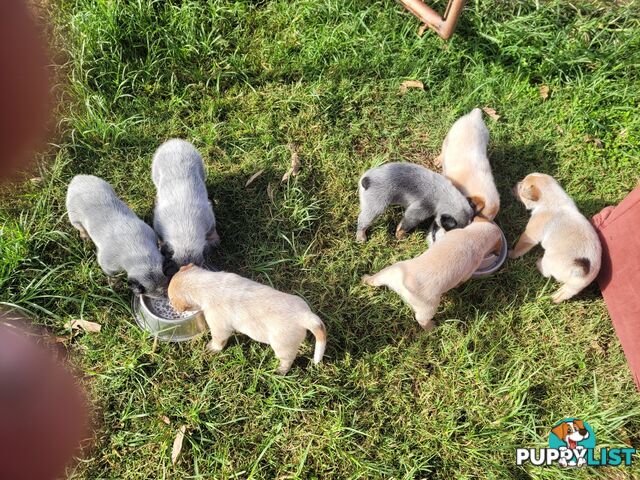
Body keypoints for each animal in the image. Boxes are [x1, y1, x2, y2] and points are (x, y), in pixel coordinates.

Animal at [168, 264, 328, 374]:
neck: (206, 284)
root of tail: (306, 316)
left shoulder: (219, 327)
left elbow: (218, 341)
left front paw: (212, 348)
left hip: (282, 347)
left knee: (287, 361)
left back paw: (280, 371)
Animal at [362, 217, 502, 330]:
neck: (474, 234)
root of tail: (400, 284)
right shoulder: (469, 270)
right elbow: (462, 281)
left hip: (389, 271)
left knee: (376, 279)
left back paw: (365, 278)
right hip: (429, 307)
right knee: (421, 319)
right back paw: (431, 328)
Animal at [508, 172, 604, 302]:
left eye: (521, 187)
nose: (514, 184)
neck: (553, 197)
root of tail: (581, 269)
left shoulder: (530, 236)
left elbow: (519, 248)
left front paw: (511, 254)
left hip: (549, 260)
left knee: (547, 272)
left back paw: (539, 264)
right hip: (577, 284)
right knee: (567, 292)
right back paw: (556, 298)